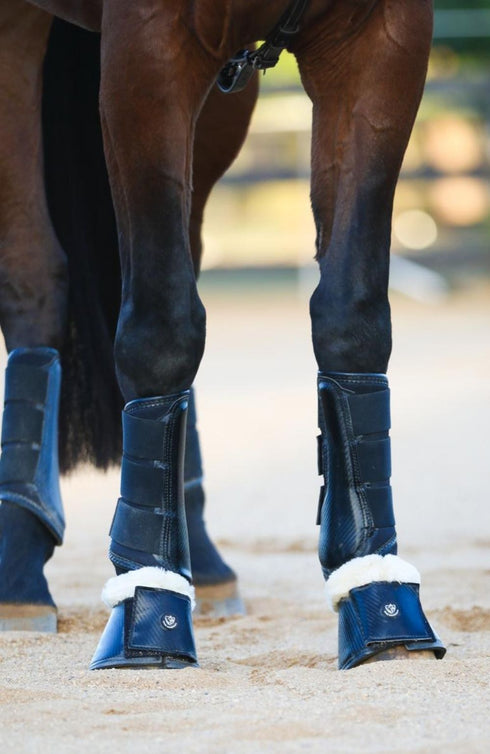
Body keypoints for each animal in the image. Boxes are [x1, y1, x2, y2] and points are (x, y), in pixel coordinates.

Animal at [0, 0, 446, 670]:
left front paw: (378, 595)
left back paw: (201, 564)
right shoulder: (150, 45)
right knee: (34, 276)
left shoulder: (383, 38)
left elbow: (353, 317)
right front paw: (149, 607)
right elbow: (161, 330)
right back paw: (19, 570)